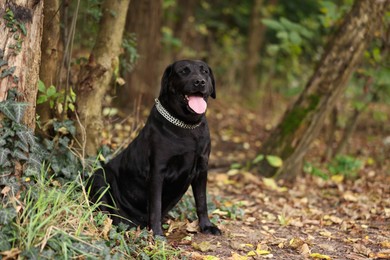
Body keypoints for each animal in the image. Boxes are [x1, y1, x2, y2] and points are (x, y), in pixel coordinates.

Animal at [89, 60, 222, 237]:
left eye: (205, 71)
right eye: (183, 71)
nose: (200, 81)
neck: (187, 127)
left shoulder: (202, 168)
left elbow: (202, 201)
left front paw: (207, 226)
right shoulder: (157, 171)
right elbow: (156, 205)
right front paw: (158, 233)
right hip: (99, 177)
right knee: (105, 211)